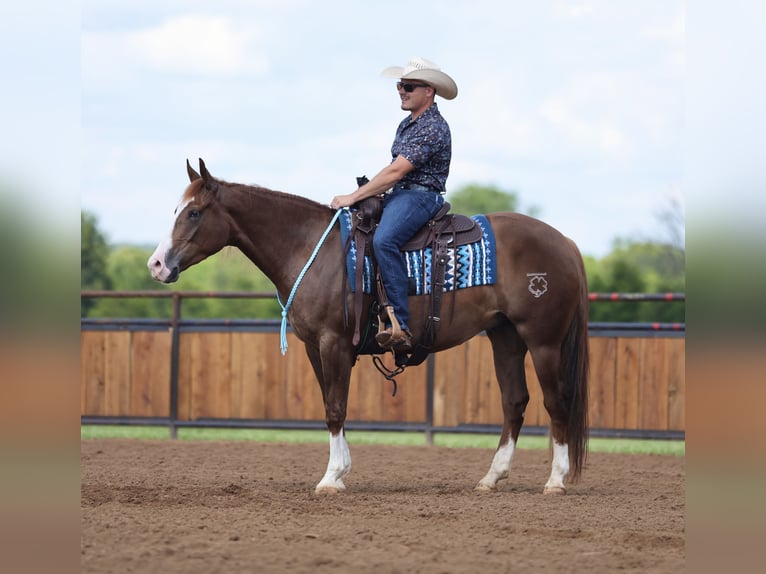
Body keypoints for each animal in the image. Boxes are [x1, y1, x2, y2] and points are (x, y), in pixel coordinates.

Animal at [148, 159, 589, 495]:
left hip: (543, 341)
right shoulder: (314, 346)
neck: (313, 249)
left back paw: (555, 481)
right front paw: (340, 472)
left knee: (557, 402)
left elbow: (335, 407)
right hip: (506, 337)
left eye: (194, 212)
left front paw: (330, 478)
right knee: (514, 402)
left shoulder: (334, 342)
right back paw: (491, 478)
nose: (157, 264)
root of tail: (566, 242)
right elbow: (331, 404)